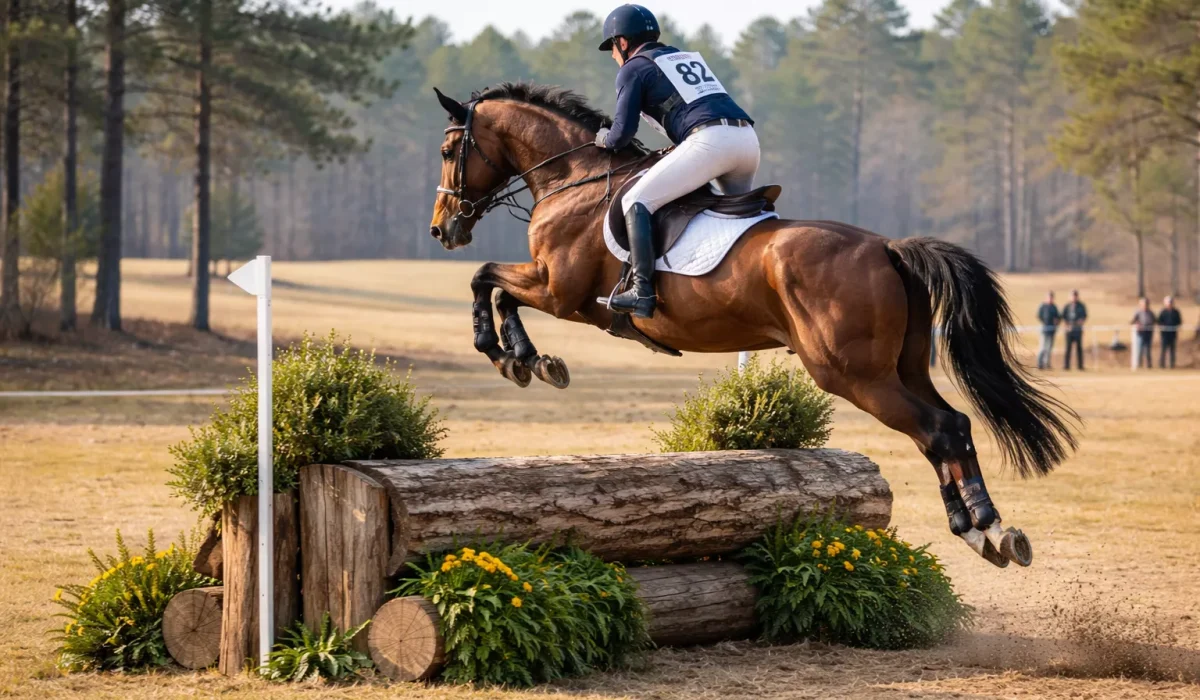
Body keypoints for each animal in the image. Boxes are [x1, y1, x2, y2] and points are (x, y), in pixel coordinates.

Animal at [427, 82, 1078, 568]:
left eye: (447, 151)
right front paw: (530, 359)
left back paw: (984, 527)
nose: (442, 229)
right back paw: (984, 531)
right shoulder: (556, 290)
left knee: (938, 429)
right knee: (952, 426)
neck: (573, 179)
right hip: (902, 366)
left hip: (853, 374)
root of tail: (888, 248)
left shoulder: (559, 289)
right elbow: (496, 287)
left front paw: (510, 355)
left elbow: (487, 280)